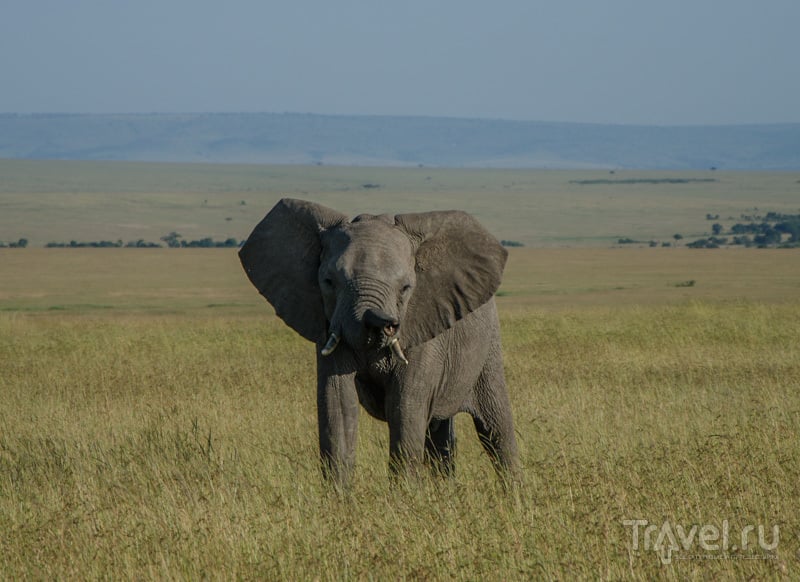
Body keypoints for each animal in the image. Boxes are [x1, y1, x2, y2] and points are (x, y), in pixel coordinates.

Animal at [238, 198, 520, 486]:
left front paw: (405, 494)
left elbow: (404, 407)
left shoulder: (422, 326)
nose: (384, 323)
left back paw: (513, 491)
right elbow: (337, 404)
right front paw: (338, 495)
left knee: (495, 427)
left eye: (406, 288)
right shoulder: (328, 325)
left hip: (489, 344)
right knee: (440, 434)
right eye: (328, 282)